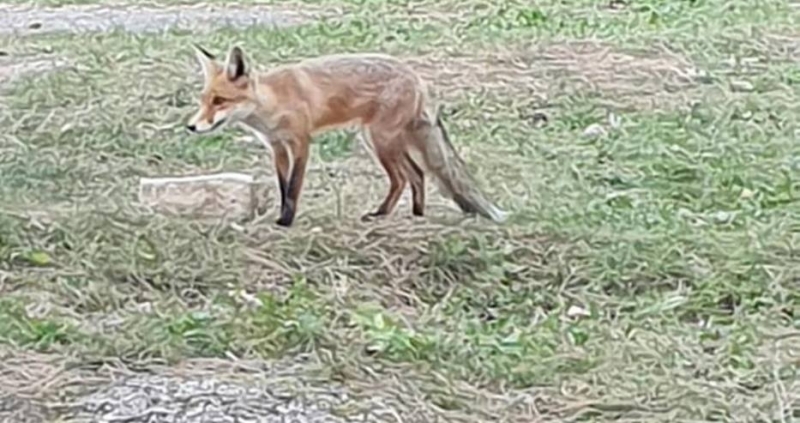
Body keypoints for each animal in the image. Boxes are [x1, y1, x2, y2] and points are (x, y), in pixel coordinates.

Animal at [186, 44, 506, 229]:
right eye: (203, 100)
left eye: (219, 101)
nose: (191, 127)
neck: (273, 102)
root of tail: (417, 78)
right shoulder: (276, 147)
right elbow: (282, 186)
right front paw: (281, 216)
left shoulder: (301, 143)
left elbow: (294, 187)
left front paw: (286, 221)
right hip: (378, 141)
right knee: (415, 175)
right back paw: (414, 215)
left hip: (381, 141)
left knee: (405, 177)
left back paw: (386, 214)